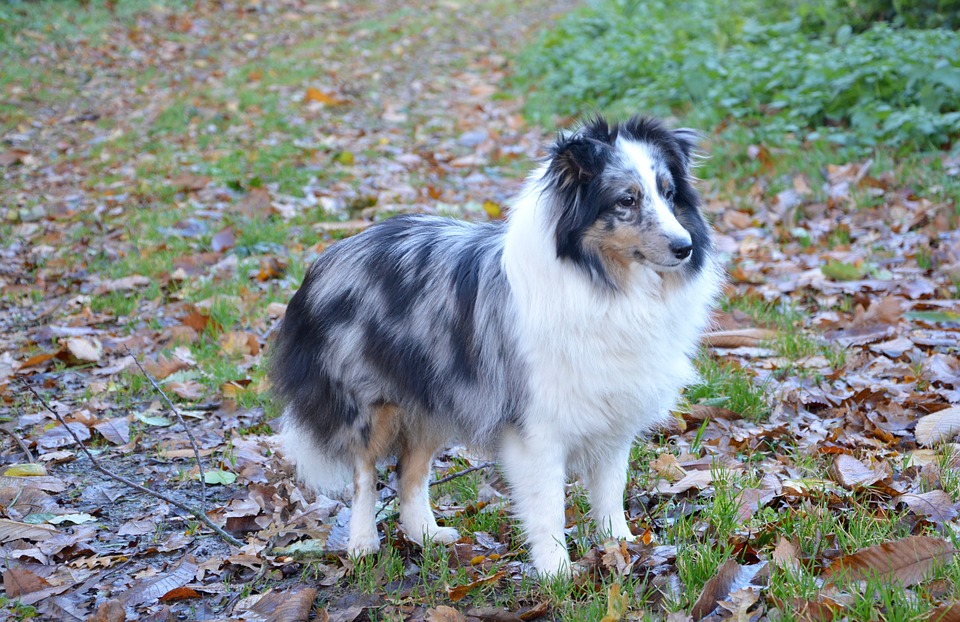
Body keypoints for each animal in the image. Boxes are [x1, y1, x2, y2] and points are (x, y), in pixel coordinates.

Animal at [270, 117, 720, 580]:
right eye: (627, 200)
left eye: (669, 194)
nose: (685, 248)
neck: (604, 281)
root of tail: (334, 253)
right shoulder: (538, 426)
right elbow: (548, 505)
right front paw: (557, 572)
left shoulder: (612, 412)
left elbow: (610, 491)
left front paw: (623, 547)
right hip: (370, 404)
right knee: (364, 473)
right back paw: (362, 544)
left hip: (433, 400)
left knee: (410, 472)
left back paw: (428, 535)